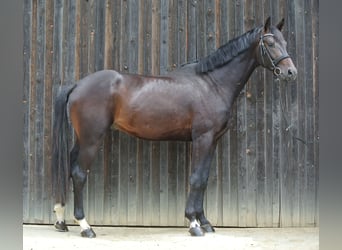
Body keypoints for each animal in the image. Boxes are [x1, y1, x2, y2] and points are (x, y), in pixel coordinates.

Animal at [51, 17, 296, 236]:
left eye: (285, 42)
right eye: (270, 43)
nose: (291, 72)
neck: (212, 84)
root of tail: (78, 84)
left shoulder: (212, 141)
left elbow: (203, 179)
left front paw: (205, 222)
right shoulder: (202, 139)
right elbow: (195, 178)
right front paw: (194, 224)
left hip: (82, 139)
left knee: (69, 167)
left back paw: (61, 220)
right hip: (92, 139)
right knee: (79, 173)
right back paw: (85, 226)